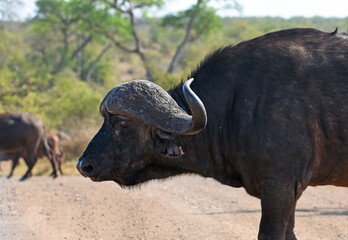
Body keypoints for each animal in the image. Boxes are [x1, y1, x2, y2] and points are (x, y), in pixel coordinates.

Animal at [77, 28, 348, 240]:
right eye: (104, 120)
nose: (83, 165)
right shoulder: (288, 194)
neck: (235, 104)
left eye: (122, 124)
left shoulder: (279, 187)